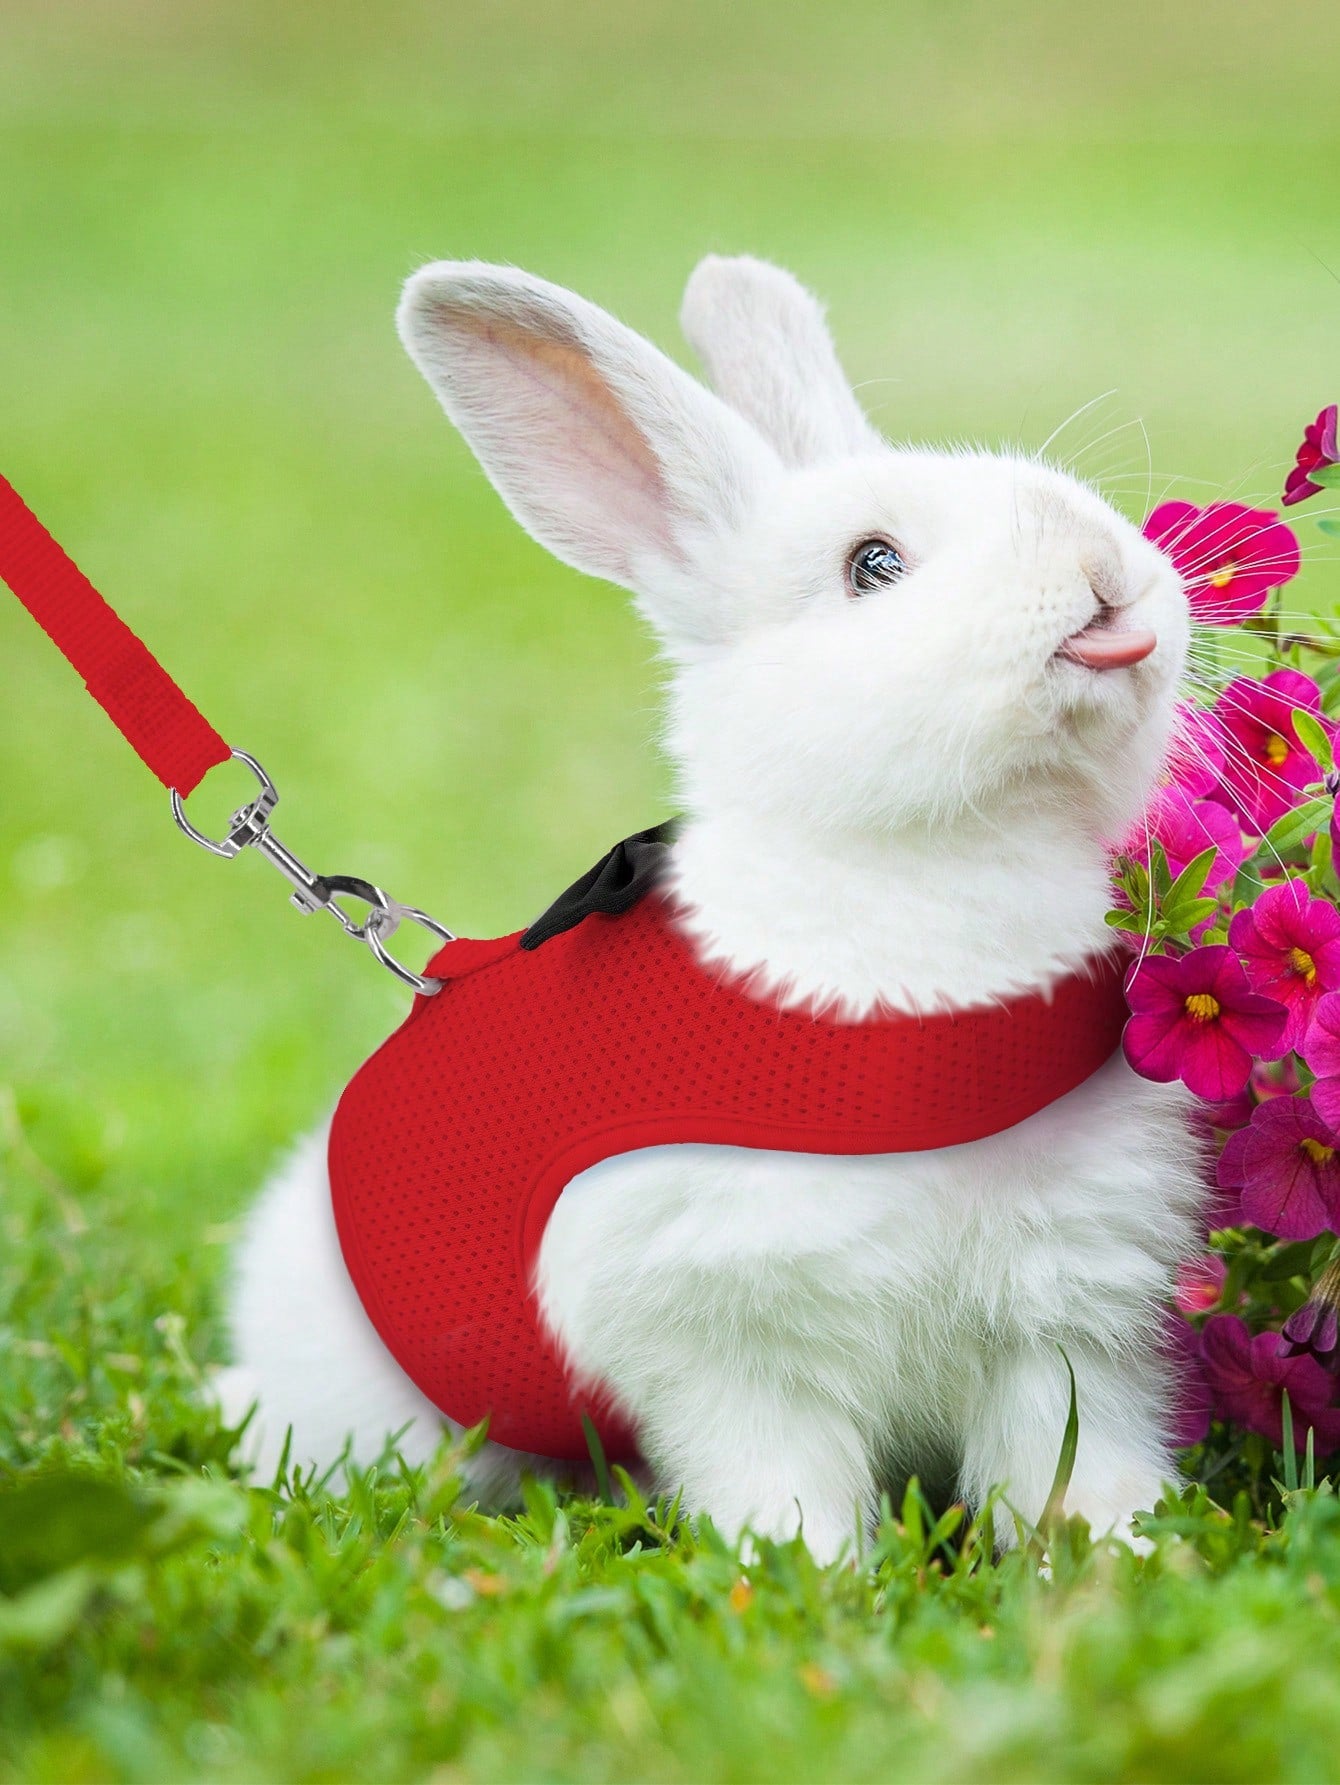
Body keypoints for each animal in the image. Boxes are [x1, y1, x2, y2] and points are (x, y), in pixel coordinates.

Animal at [218, 254, 1201, 1561]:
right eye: (872, 565)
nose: (1104, 566)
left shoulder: (1065, 1317)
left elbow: (1068, 1464)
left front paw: (1121, 1555)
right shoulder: (729, 1338)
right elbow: (775, 1475)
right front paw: (813, 1576)